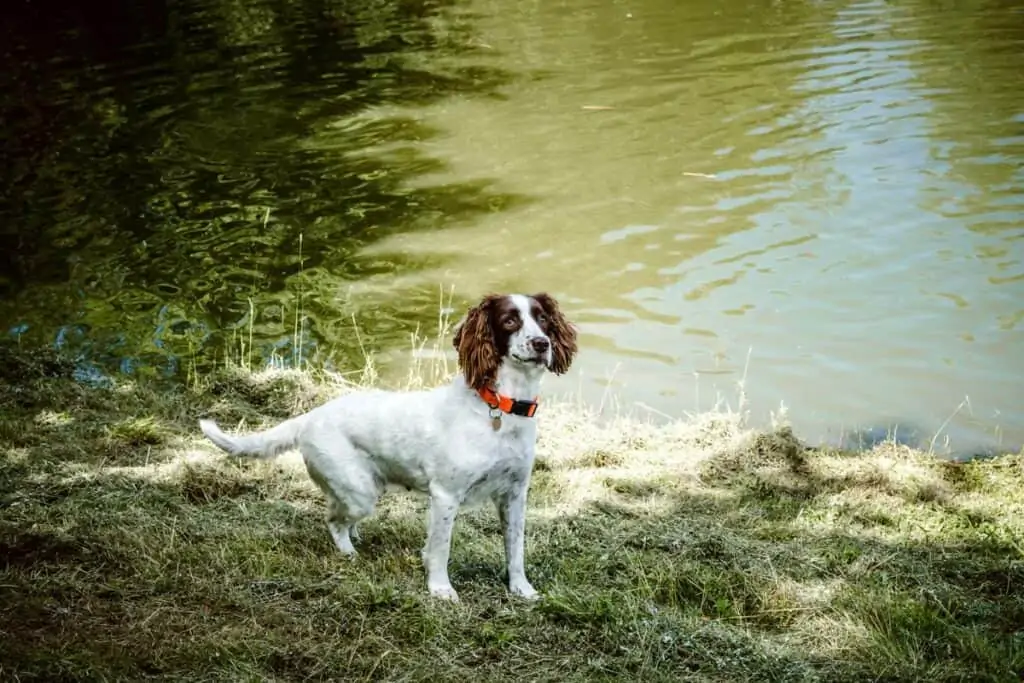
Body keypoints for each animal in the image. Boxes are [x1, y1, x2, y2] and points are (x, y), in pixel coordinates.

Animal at [193, 290, 577, 602]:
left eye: (543, 319)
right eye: (510, 320)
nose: (542, 343)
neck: (499, 406)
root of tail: (309, 417)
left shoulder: (515, 494)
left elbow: (515, 549)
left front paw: (521, 589)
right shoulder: (446, 495)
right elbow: (440, 549)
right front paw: (441, 590)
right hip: (359, 492)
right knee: (333, 519)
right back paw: (349, 553)